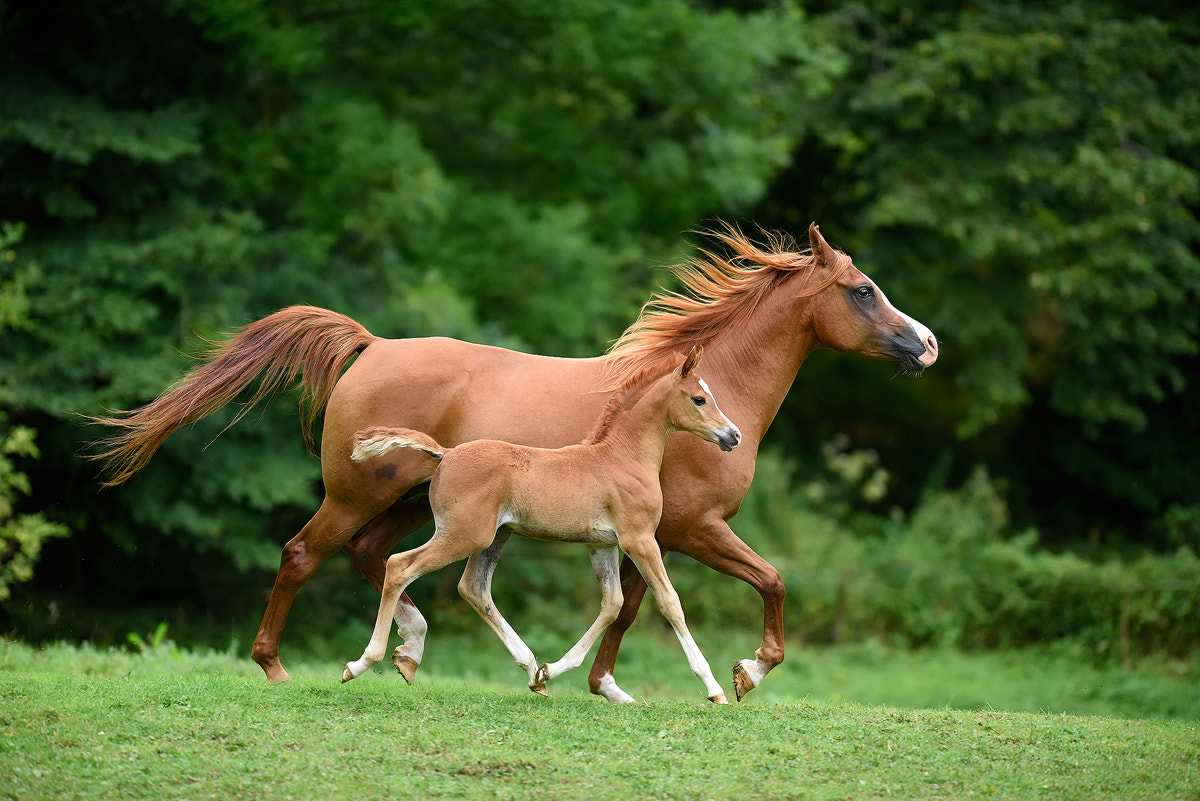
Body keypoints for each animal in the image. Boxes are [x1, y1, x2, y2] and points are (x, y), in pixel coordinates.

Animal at [340, 347, 739, 705]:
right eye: (699, 399)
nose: (733, 435)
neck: (622, 458)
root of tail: (446, 453)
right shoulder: (639, 540)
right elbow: (670, 602)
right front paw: (714, 688)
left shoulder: (602, 544)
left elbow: (612, 604)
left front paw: (550, 670)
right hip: (464, 535)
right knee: (399, 566)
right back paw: (361, 663)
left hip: (492, 537)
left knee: (473, 588)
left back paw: (531, 668)